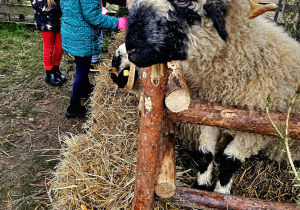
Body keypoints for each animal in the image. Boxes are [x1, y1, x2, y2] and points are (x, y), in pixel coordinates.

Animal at [110, 0, 300, 194]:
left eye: (183, 3)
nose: (129, 49)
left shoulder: (258, 130)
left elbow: (230, 160)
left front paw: (221, 192)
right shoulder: (212, 116)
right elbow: (206, 152)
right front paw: (202, 185)